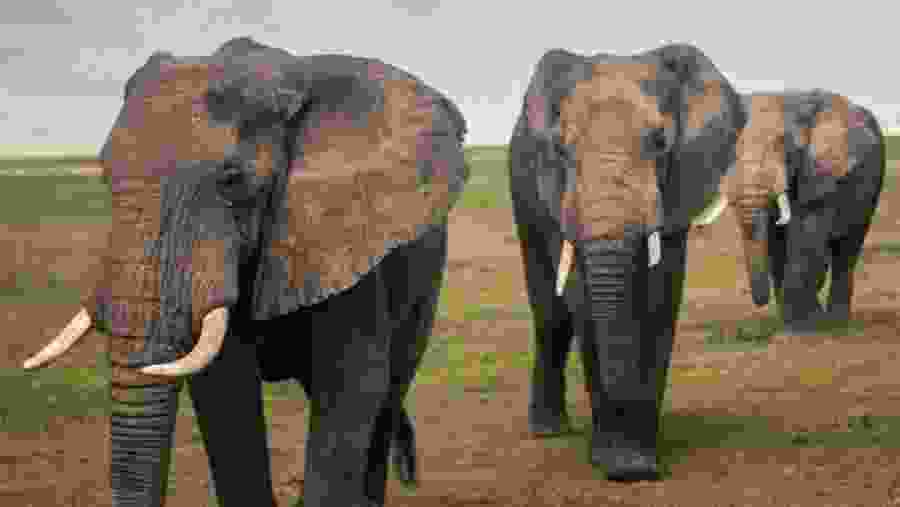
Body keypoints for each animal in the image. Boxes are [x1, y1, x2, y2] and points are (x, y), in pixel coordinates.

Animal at [22, 36, 468, 507]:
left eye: (232, 179)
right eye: (105, 175)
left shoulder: (344, 233)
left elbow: (351, 386)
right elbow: (225, 394)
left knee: (386, 402)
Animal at [508, 43, 746, 481]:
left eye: (660, 142)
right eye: (561, 149)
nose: (634, 473)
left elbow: (659, 298)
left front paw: (639, 462)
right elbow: (585, 304)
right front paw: (619, 464)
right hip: (522, 192)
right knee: (550, 316)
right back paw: (549, 431)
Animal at [721, 90, 884, 334]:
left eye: (785, 146)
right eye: (732, 150)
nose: (761, 302)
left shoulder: (821, 173)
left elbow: (806, 242)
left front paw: (803, 329)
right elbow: (777, 246)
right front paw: (797, 324)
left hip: (872, 188)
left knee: (846, 251)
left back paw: (836, 324)